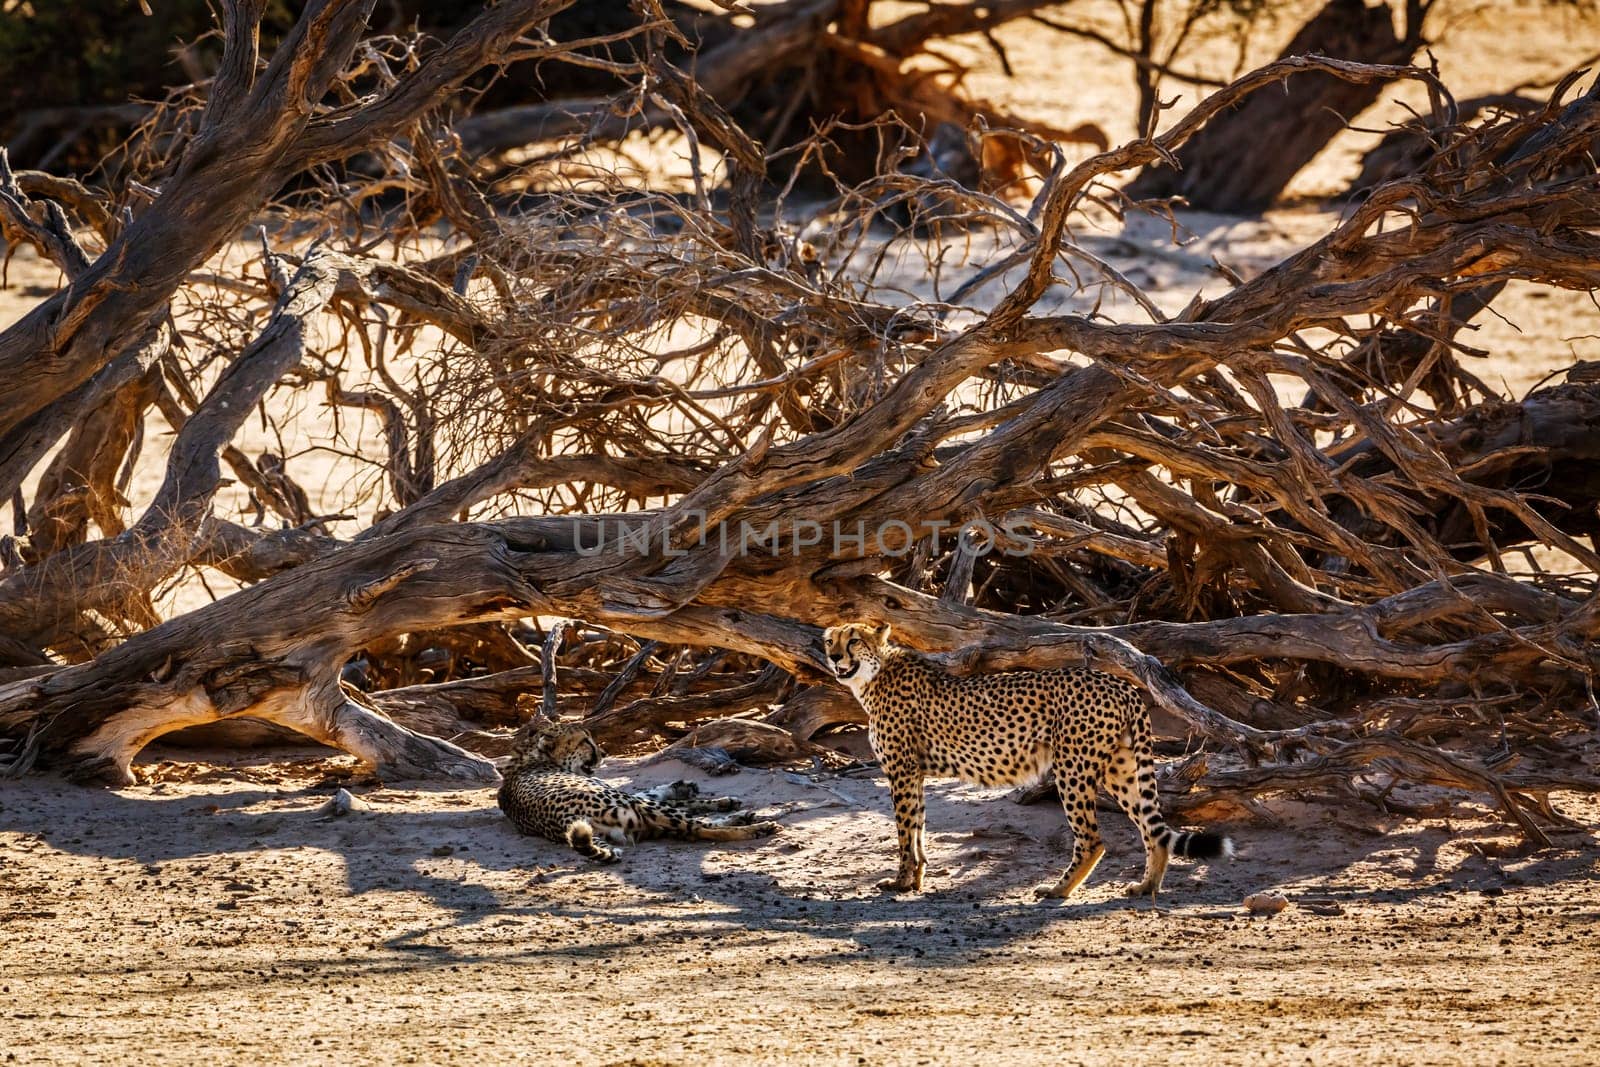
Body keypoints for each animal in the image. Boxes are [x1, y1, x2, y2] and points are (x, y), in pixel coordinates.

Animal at [492, 716, 780, 857]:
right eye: (585, 741)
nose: (604, 753)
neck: (534, 757)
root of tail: (566, 820)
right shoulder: (625, 796)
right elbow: (678, 801)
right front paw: (715, 800)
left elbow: (659, 791)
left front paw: (687, 786)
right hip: (639, 812)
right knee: (700, 828)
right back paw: (756, 827)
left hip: (644, 824)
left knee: (691, 828)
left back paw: (741, 816)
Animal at [819, 620, 1228, 908]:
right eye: (830, 641)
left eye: (853, 640)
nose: (835, 657)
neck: (874, 676)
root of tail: (1118, 682)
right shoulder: (914, 773)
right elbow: (917, 829)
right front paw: (916, 880)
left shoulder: (901, 771)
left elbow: (905, 833)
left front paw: (902, 881)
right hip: (1121, 768)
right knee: (1152, 830)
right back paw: (1146, 886)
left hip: (1072, 769)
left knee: (1092, 839)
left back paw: (1058, 890)